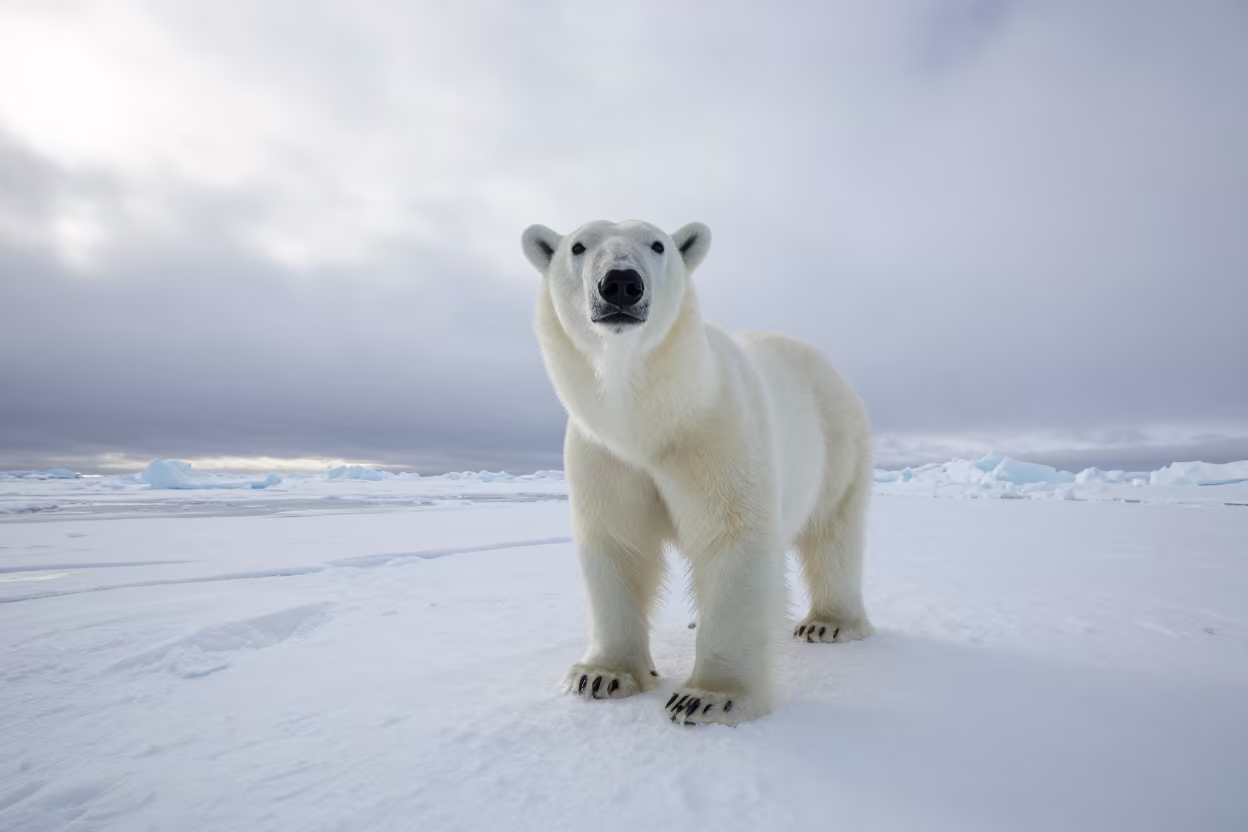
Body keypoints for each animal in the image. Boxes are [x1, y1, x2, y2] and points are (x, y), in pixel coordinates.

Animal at [521, 219, 873, 726]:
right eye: (579, 246)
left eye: (658, 244)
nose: (621, 284)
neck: (654, 420)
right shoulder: (605, 455)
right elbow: (618, 542)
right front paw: (601, 676)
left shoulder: (716, 435)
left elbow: (731, 537)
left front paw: (708, 697)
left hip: (838, 441)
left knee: (832, 531)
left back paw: (828, 624)